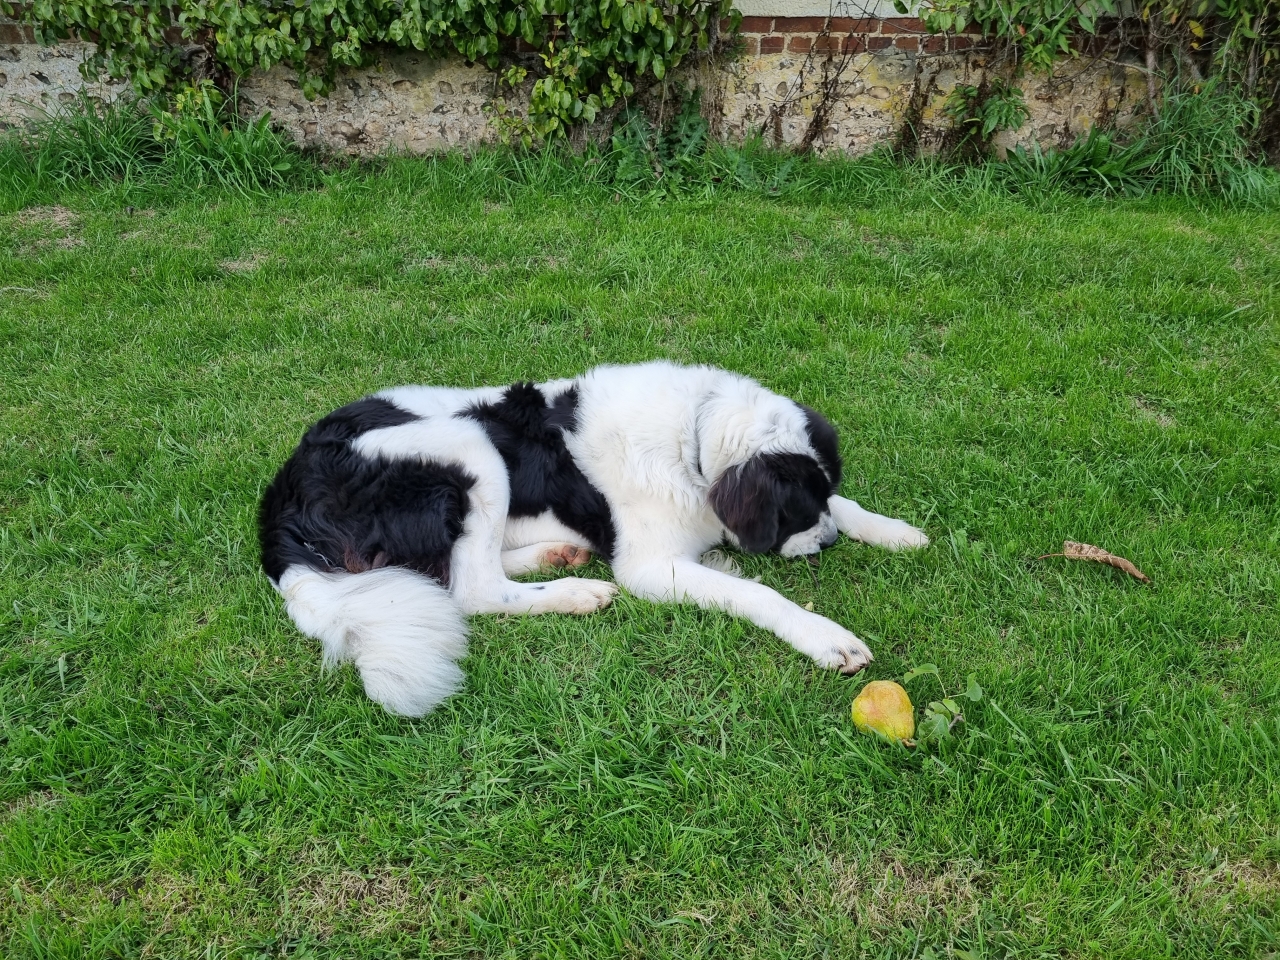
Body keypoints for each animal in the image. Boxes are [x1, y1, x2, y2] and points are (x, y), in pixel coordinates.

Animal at [259, 361, 929, 716]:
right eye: (795, 511)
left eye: (815, 500)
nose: (829, 544)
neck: (692, 443)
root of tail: (282, 497)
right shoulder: (649, 566)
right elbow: (759, 594)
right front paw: (826, 638)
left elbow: (850, 505)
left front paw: (893, 531)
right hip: (469, 444)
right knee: (473, 588)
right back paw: (575, 591)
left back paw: (558, 555)